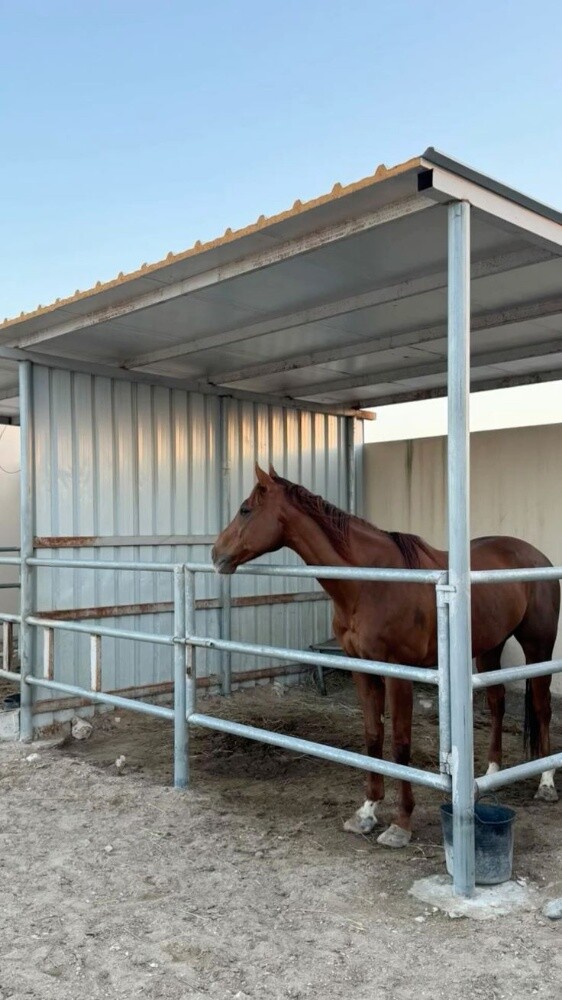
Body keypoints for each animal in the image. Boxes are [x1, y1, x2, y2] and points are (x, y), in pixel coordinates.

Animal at [212, 465, 560, 848]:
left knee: (542, 707)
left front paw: (401, 823)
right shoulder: (363, 669)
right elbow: (373, 736)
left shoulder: (399, 672)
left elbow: (400, 743)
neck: (369, 583)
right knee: (497, 703)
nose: (215, 554)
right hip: (488, 648)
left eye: (245, 509)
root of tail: (537, 557)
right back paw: (490, 773)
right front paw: (366, 811)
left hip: (538, 646)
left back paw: (546, 783)